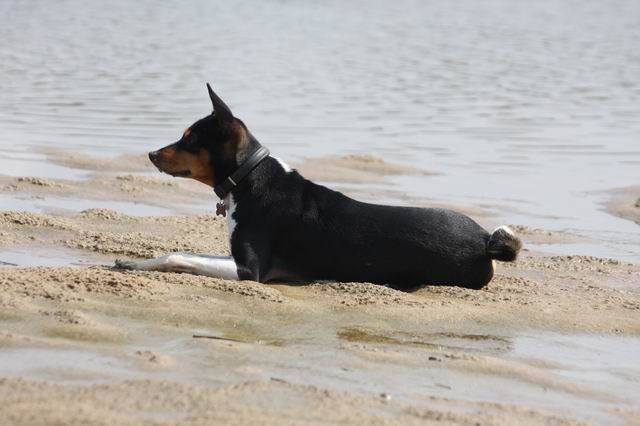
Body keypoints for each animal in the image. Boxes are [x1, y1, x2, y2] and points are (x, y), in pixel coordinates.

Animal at [115, 84, 522, 290]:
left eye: (189, 139)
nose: (150, 153)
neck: (249, 179)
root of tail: (485, 240)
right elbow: (181, 250)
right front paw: (132, 260)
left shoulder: (252, 271)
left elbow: (180, 258)